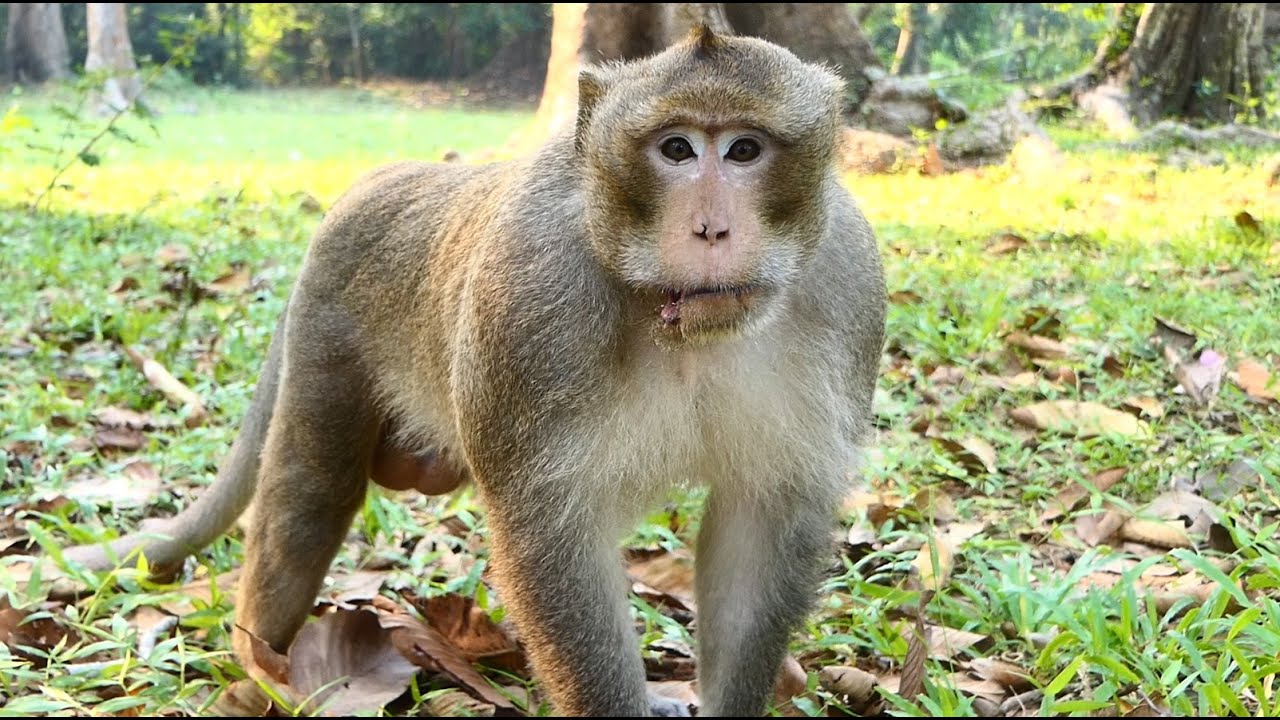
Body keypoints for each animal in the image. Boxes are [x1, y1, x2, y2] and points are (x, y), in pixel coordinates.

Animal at [63, 26, 886, 717]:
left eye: (744, 151)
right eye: (677, 149)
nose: (712, 228)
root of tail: (376, 183)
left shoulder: (846, 285)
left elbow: (761, 526)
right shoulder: (528, 300)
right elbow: (549, 536)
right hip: (330, 323)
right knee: (310, 491)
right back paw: (261, 667)